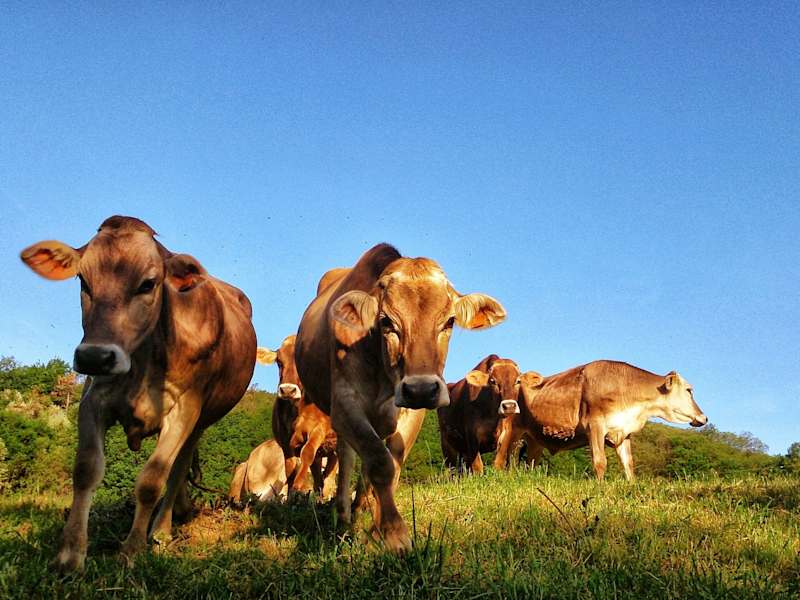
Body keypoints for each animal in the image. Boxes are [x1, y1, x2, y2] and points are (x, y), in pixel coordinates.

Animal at [20, 216, 256, 571]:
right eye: (83, 280)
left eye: (147, 284)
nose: (95, 357)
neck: (145, 360)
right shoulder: (93, 399)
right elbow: (85, 470)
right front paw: (70, 554)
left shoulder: (185, 409)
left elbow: (151, 481)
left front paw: (131, 551)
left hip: (199, 423)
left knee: (178, 469)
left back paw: (161, 530)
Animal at [256, 336, 338, 496]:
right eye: (279, 362)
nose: (288, 390)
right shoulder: (285, 443)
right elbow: (291, 468)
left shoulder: (318, 430)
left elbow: (307, 453)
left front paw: (298, 486)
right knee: (319, 481)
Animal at [294, 243, 506, 552]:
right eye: (386, 321)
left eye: (450, 321)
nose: (421, 389)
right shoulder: (345, 405)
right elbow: (379, 462)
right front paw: (394, 534)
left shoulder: (414, 412)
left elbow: (391, 465)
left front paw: (378, 529)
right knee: (347, 457)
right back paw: (343, 513)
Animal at [501, 360, 708, 480]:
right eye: (689, 390)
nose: (704, 417)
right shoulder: (595, 426)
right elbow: (600, 461)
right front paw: (599, 488)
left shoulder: (623, 432)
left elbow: (628, 464)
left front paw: (632, 487)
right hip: (513, 430)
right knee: (507, 455)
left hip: (535, 439)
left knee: (530, 462)